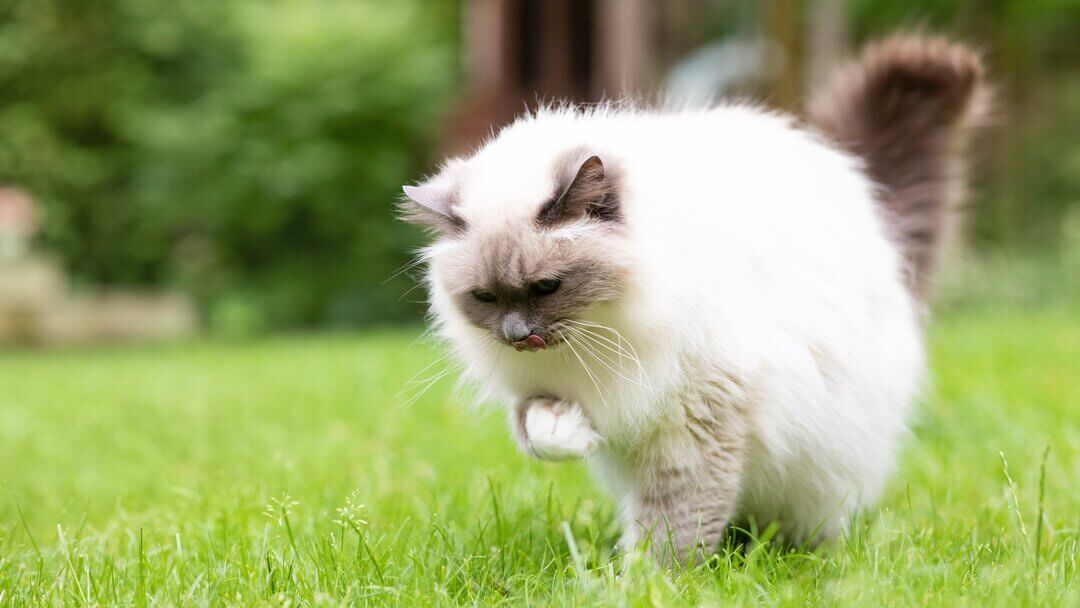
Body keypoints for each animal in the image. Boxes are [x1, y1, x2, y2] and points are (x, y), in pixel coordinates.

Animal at [399, 35, 989, 565]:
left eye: (547, 287)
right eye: (486, 297)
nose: (517, 336)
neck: (605, 331)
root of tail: (864, 198)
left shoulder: (694, 422)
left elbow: (673, 523)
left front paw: (646, 583)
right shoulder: (541, 391)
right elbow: (540, 434)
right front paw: (575, 433)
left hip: (822, 459)